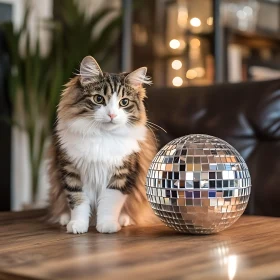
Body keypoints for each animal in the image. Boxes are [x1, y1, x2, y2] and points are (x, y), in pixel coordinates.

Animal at [48, 55, 158, 233]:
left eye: (124, 102)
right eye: (99, 99)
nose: (112, 114)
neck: (102, 136)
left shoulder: (122, 174)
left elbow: (110, 203)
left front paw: (107, 225)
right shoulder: (71, 171)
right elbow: (78, 201)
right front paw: (77, 225)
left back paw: (124, 219)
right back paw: (64, 219)